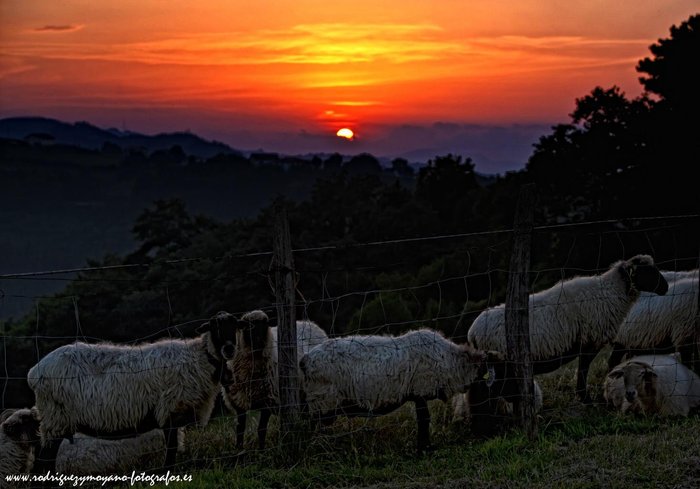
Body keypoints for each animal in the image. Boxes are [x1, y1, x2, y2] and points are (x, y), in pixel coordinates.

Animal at [26, 310, 241, 470]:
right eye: (215, 327)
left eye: (234, 327)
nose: (229, 350)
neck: (200, 357)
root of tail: (34, 372)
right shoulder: (170, 411)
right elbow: (171, 449)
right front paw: (167, 472)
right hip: (56, 418)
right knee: (44, 460)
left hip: (55, 420)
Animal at [221, 310, 328, 448]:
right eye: (248, 326)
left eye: (265, 324)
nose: (260, 343)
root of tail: (310, 323)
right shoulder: (239, 402)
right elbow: (240, 430)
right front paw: (239, 450)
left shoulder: (268, 400)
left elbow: (261, 430)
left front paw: (261, 450)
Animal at [298, 326, 500, 452]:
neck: (453, 362)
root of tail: (305, 360)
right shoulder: (420, 391)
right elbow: (424, 420)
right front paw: (425, 448)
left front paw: (423, 446)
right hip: (322, 400)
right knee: (311, 425)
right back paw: (316, 447)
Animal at [464, 254, 668, 402]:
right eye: (647, 271)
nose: (665, 288)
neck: (611, 292)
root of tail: (472, 332)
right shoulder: (590, 341)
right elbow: (583, 369)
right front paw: (585, 398)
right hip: (502, 363)